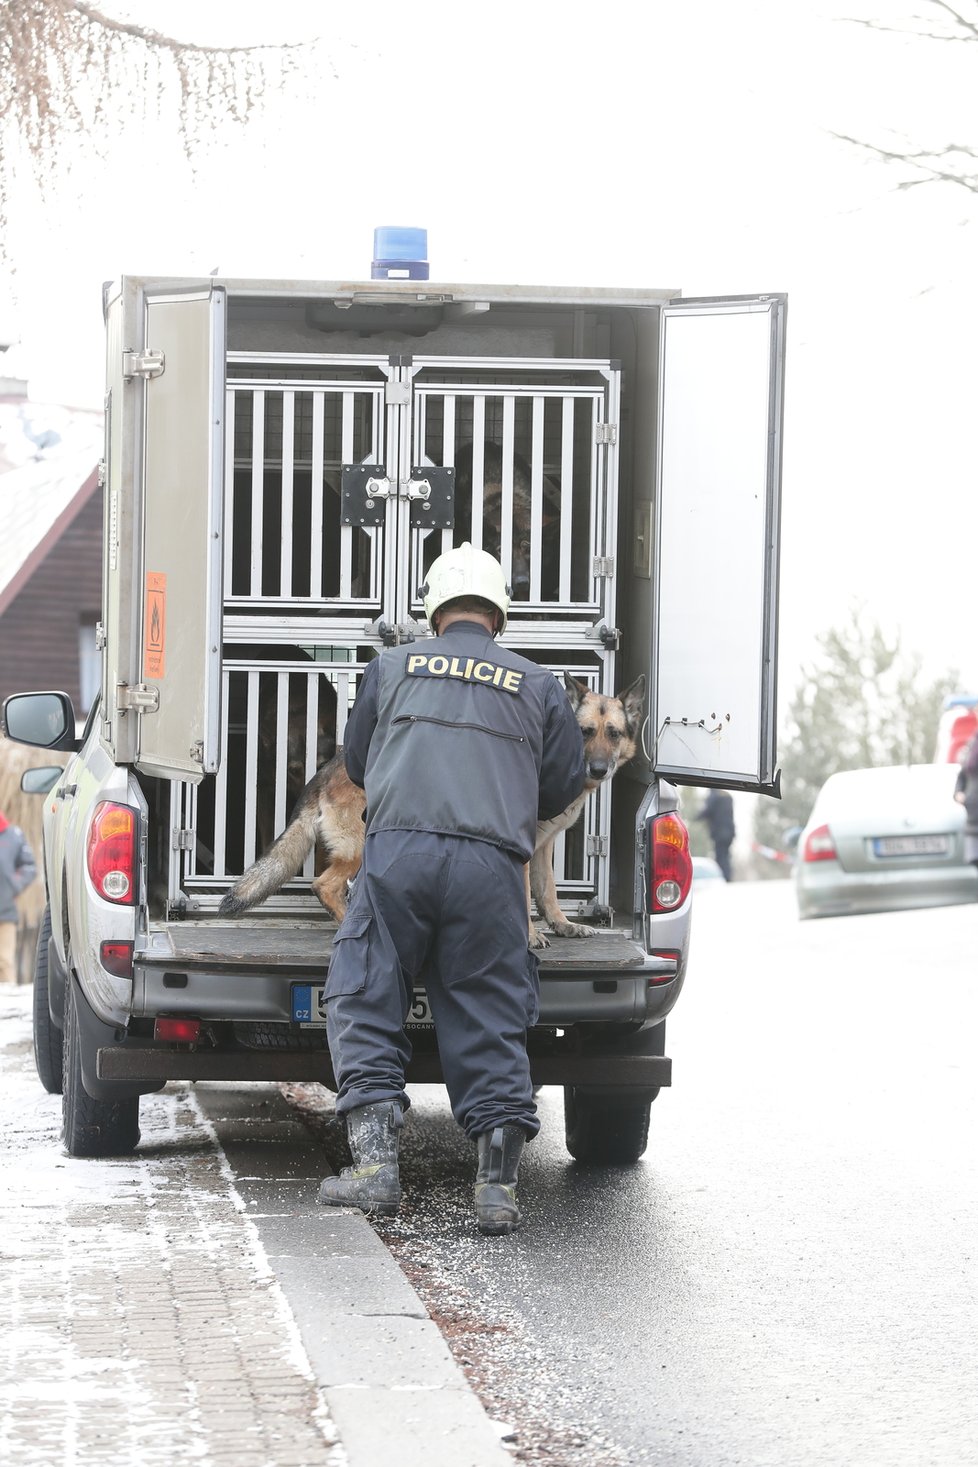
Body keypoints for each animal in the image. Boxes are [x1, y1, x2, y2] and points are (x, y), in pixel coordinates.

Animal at [222, 671, 651, 944]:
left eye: (613, 734)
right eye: (585, 732)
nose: (598, 769)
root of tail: (324, 771)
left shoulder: (544, 846)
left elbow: (548, 893)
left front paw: (563, 926)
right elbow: (527, 896)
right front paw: (529, 937)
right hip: (361, 843)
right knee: (324, 885)